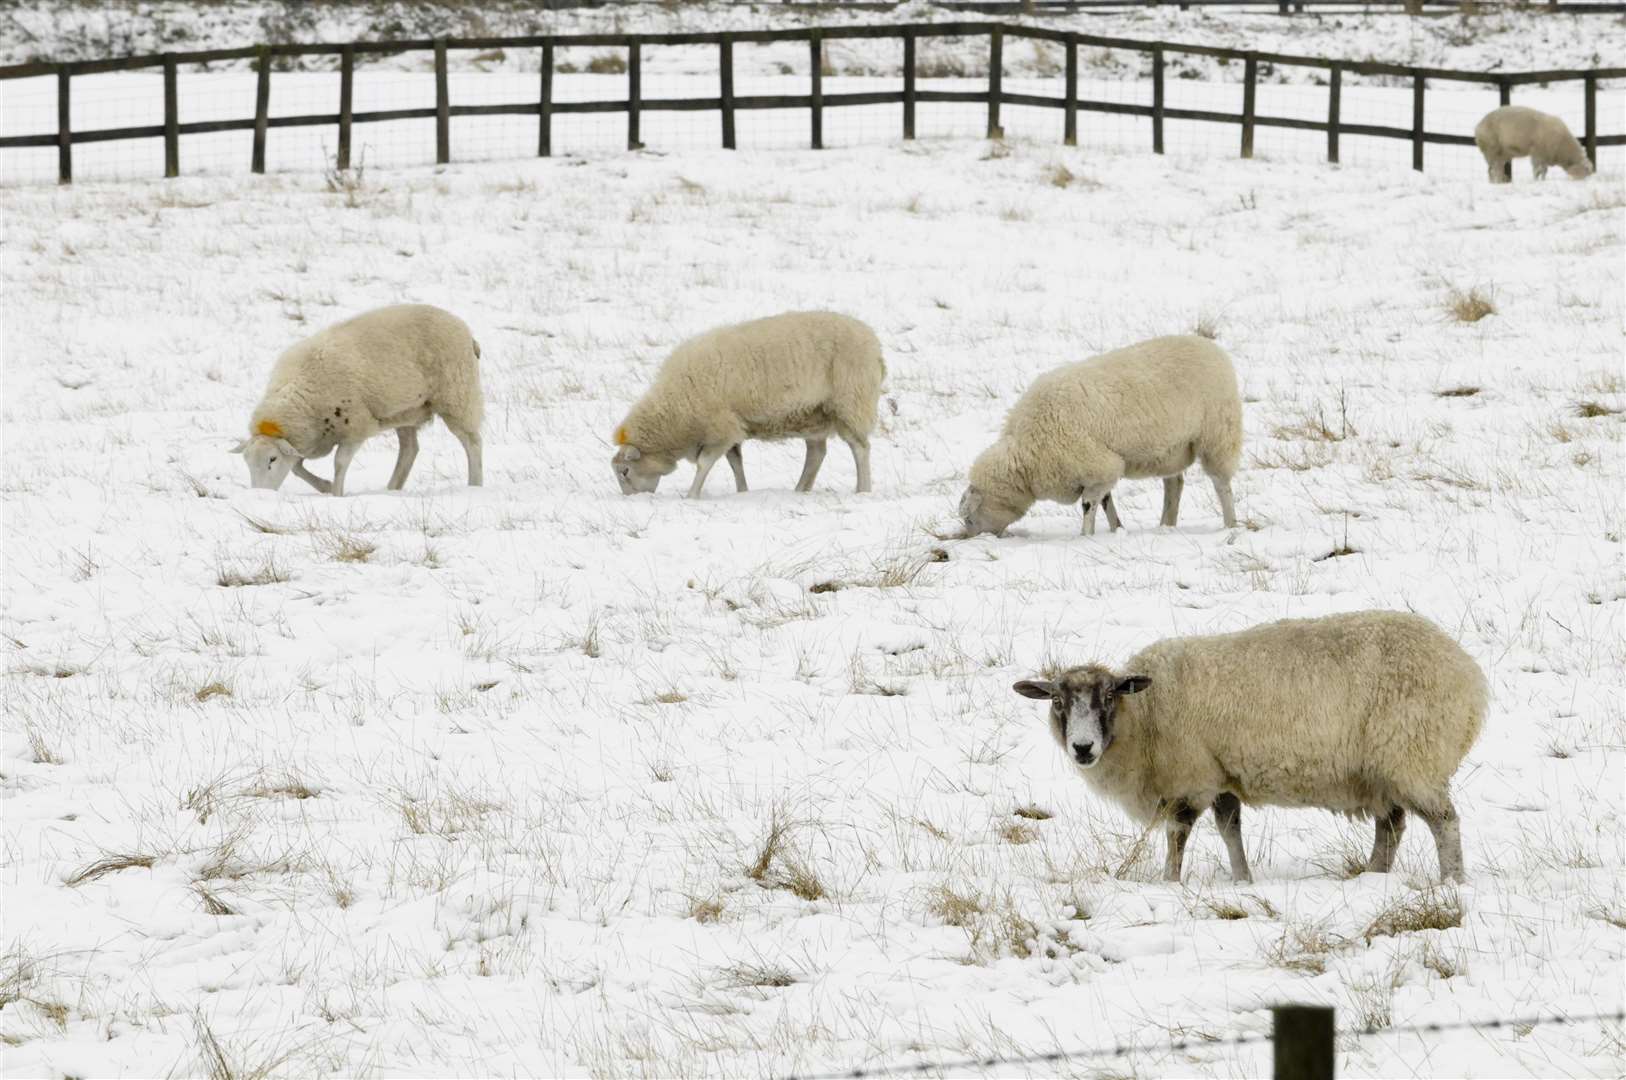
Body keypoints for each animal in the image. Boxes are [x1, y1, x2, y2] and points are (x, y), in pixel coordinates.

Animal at [234, 299, 481, 494]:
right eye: (246, 461)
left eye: (272, 460)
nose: (260, 494)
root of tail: (466, 330)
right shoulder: (311, 438)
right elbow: (296, 467)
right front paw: (324, 486)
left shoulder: (355, 426)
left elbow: (339, 463)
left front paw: (335, 493)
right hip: (405, 409)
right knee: (409, 449)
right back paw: (392, 488)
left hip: (457, 396)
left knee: (472, 442)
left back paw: (475, 485)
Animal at [611, 310, 891, 500]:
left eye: (624, 471)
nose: (630, 499)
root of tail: (874, 342)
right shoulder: (731, 427)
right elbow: (735, 462)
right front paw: (742, 491)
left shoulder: (720, 426)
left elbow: (705, 463)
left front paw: (692, 495)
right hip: (813, 413)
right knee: (816, 454)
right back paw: (800, 489)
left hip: (850, 403)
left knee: (860, 448)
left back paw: (863, 490)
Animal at [956, 335, 1235, 536]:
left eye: (969, 517)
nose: (971, 538)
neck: (1028, 452)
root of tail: (1211, 347)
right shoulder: (1095, 470)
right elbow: (1106, 501)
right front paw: (1116, 529)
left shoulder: (1100, 465)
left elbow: (1089, 505)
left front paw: (1086, 535)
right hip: (1171, 449)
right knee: (1174, 484)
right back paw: (1166, 525)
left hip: (1218, 434)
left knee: (1221, 484)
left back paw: (1230, 524)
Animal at [1008, 611, 1489, 884]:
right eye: (1057, 701)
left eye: (1108, 696)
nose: (1082, 748)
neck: (1143, 716)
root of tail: (1470, 675)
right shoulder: (1220, 775)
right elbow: (1230, 831)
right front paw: (1243, 880)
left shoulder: (1190, 778)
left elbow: (1177, 835)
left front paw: (1169, 883)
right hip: (1383, 770)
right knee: (1391, 828)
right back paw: (1373, 879)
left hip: (1412, 756)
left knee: (1444, 823)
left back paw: (1451, 882)